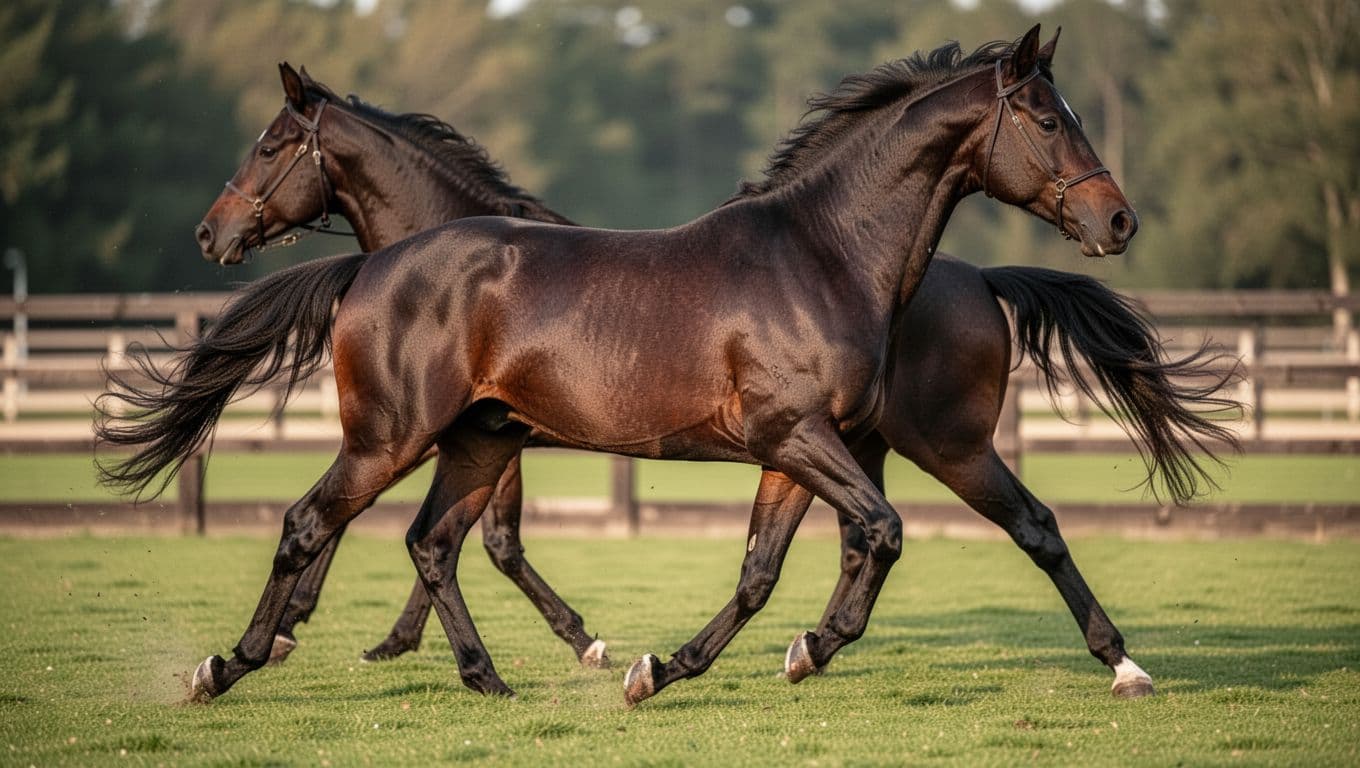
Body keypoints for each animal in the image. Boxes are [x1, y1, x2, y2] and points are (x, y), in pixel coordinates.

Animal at [100, 27, 1145, 705]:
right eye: (1046, 119)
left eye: (274, 144)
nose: (1118, 220)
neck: (821, 253)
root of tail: (373, 269)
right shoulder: (796, 439)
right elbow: (862, 541)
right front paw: (684, 660)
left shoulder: (795, 447)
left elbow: (769, 568)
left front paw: (671, 665)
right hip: (395, 436)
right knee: (314, 524)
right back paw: (227, 665)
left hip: (475, 441)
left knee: (424, 542)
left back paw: (483, 679)